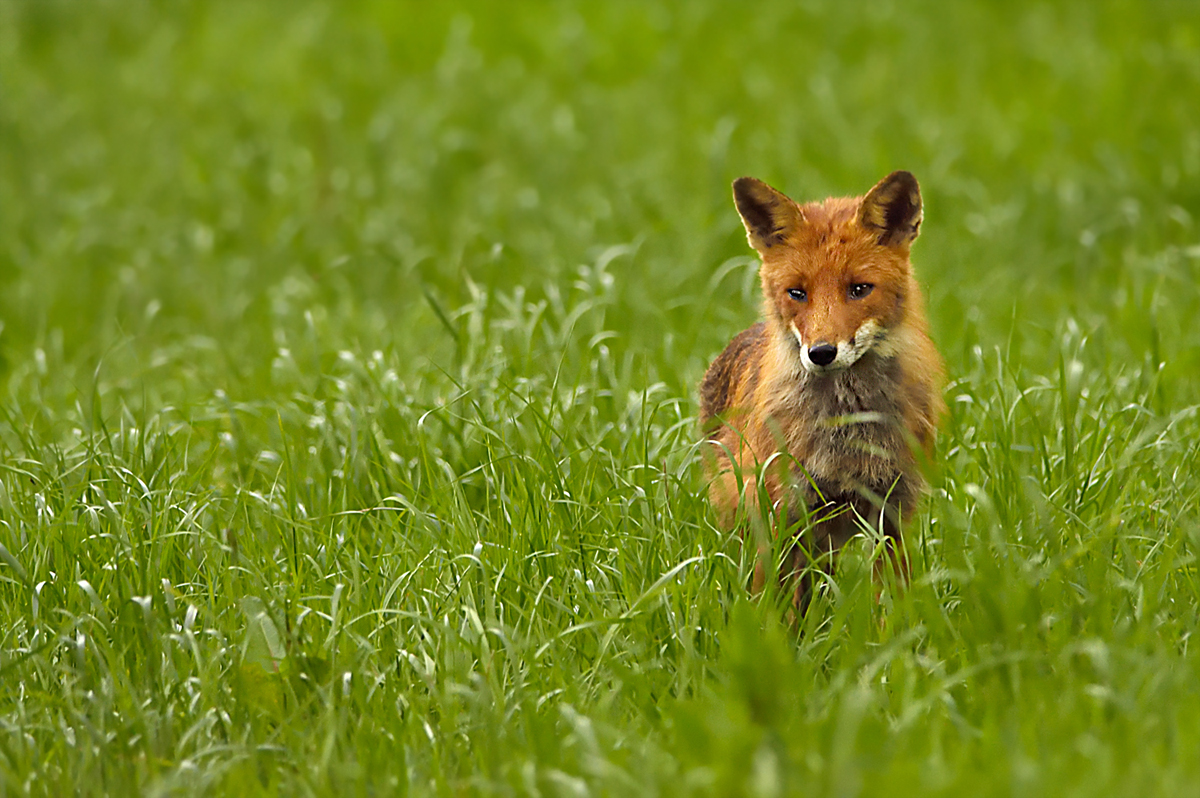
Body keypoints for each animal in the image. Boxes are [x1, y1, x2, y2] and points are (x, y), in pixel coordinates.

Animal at [696, 171, 945, 607]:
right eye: (798, 293)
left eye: (859, 289)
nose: (822, 353)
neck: (846, 433)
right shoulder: (782, 511)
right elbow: (774, 608)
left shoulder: (893, 513)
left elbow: (891, 606)